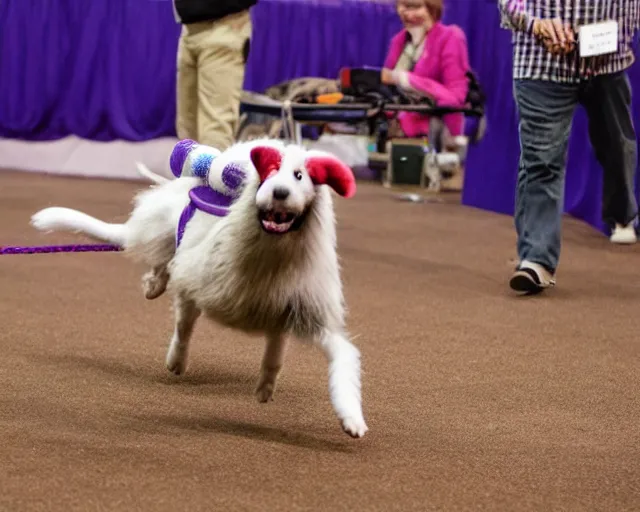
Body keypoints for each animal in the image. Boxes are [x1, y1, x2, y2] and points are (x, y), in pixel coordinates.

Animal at [31, 138, 370, 438]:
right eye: (270, 172)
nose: (280, 192)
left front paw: (350, 418)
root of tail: (191, 179)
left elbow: (323, 359)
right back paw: (154, 286)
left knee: (166, 259)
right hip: (163, 231)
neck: (272, 253)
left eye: (300, 175)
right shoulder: (196, 286)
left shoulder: (294, 311)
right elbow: (184, 328)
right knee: (164, 258)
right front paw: (176, 361)